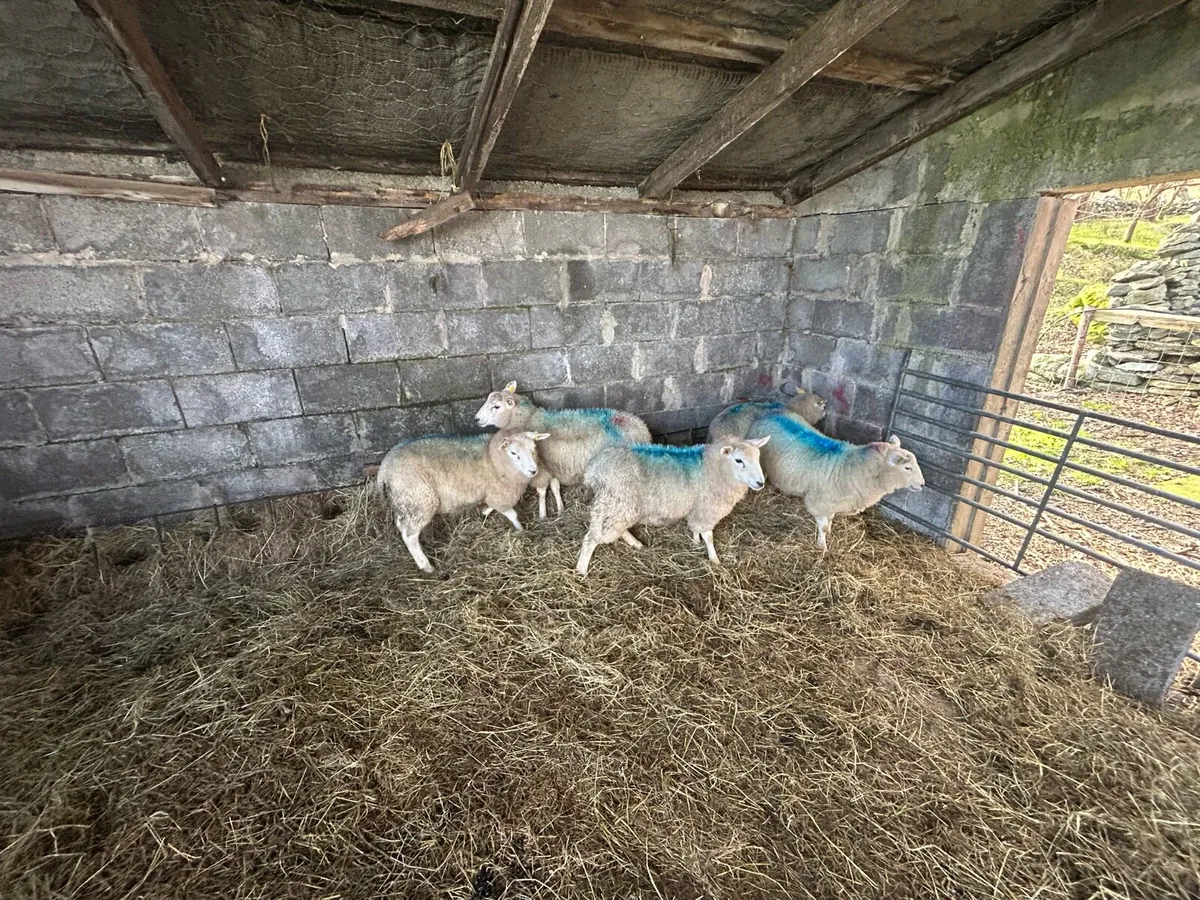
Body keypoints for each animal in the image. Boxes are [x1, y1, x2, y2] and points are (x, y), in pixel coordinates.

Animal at [376, 429, 549, 573]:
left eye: (534, 449)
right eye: (513, 453)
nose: (533, 471)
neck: (492, 458)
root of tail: (384, 469)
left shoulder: (493, 493)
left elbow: (492, 506)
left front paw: (485, 511)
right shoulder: (500, 494)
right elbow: (512, 514)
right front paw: (521, 529)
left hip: (406, 502)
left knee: (402, 525)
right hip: (420, 498)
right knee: (409, 536)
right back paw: (426, 565)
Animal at [475, 381, 652, 519]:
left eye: (496, 406)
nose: (476, 419)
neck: (527, 419)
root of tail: (643, 429)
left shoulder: (541, 468)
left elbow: (541, 491)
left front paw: (542, 514)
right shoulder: (552, 465)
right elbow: (555, 487)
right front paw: (560, 508)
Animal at [574, 436, 769, 577]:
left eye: (759, 458)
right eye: (738, 460)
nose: (760, 483)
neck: (714, 469)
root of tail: (594, 469)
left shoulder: (697, 509)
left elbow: (696, 528)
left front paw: (695, 540)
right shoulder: (706, 509)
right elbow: (709, 536)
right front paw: (714, 559)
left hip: (621, 506)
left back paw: (636, 543)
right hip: (615, 502)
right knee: (592, 538)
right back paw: (581, 571)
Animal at [744, 409, 924, 552]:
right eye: (907, 468)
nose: (922, 484)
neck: (853, 468)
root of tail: (768, 413)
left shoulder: (833, 503)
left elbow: (830, 521)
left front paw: (829, 533)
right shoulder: (819, 503)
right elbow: (823, 527)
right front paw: (822, 547)